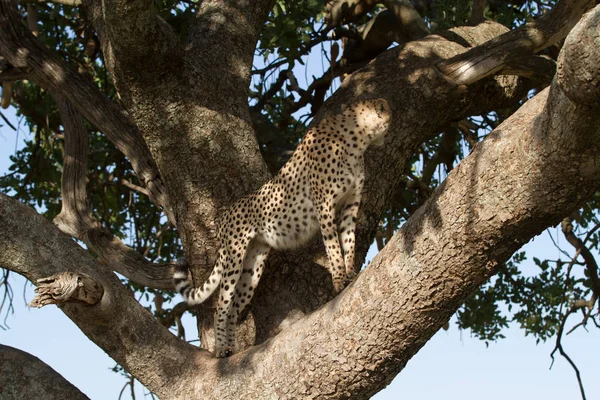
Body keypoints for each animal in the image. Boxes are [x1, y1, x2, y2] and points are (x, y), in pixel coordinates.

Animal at [172, 99, 394, 356]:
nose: (388, 134)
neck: (356, 139)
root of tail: (225, 214)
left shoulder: (350, 206)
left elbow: (349, 241)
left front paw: (350, 274)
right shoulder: (324, 205)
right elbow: (333, 247)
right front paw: (339, 281)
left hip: (254, 265)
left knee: (235, 306)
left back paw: (231, 348)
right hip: (233, 257)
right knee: (222, 305)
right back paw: (220, 350)